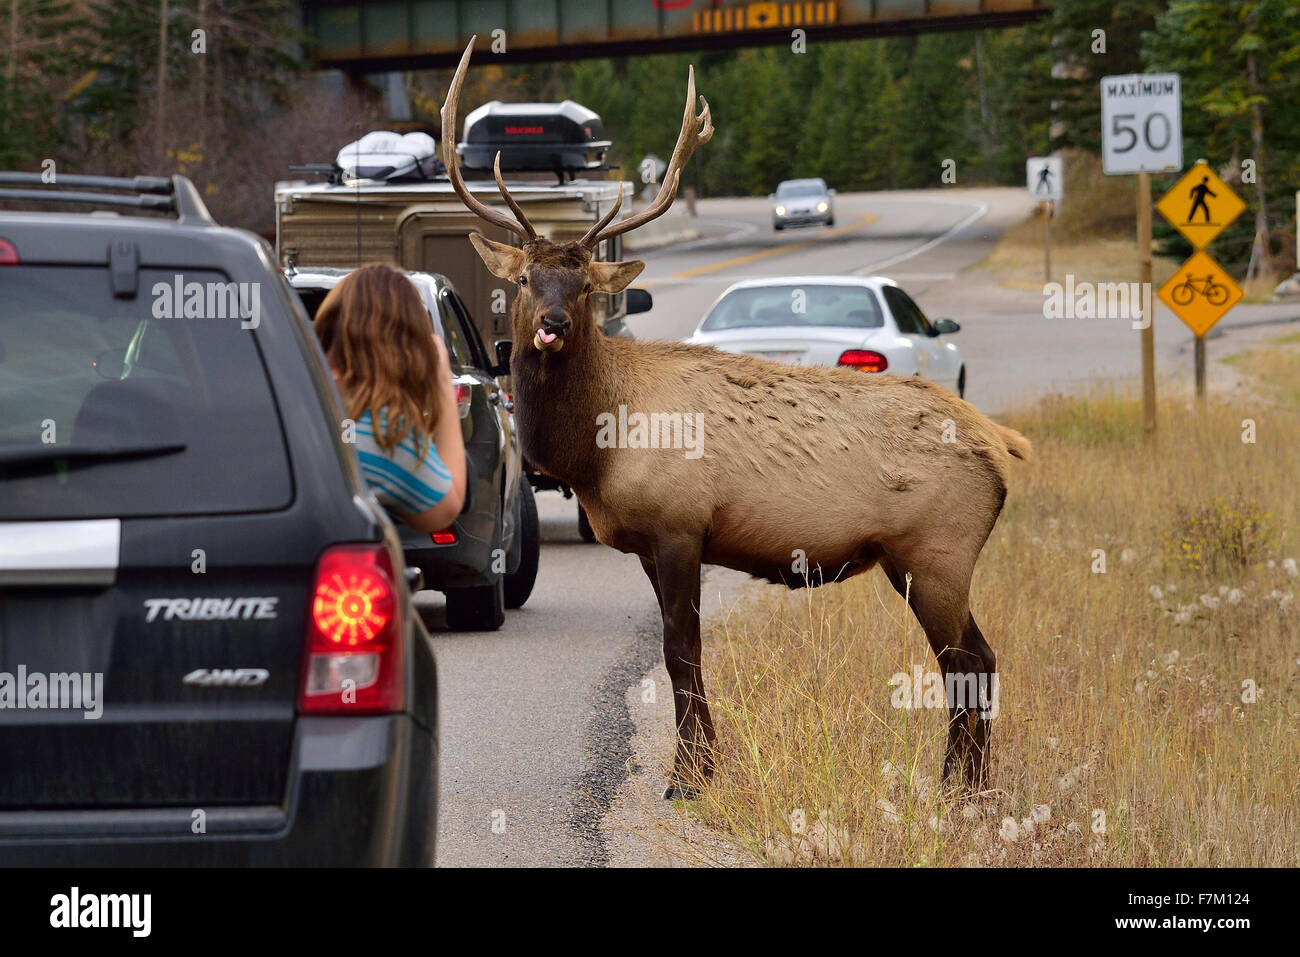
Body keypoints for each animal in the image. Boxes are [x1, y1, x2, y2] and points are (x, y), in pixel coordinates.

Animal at [441, 39, 1029, 800]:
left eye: (584, 285)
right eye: (523, 279)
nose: (549, 325)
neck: (598, 447)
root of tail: (1001, 444)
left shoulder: (679, 522)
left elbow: (681, 650)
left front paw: (690, 777)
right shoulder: (649, 542)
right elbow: (679, 652)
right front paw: (702, 767)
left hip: (939, 548)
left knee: (971, 657)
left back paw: (963, 787)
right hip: (919, 558)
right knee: (971, 657)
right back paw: (965, 784)